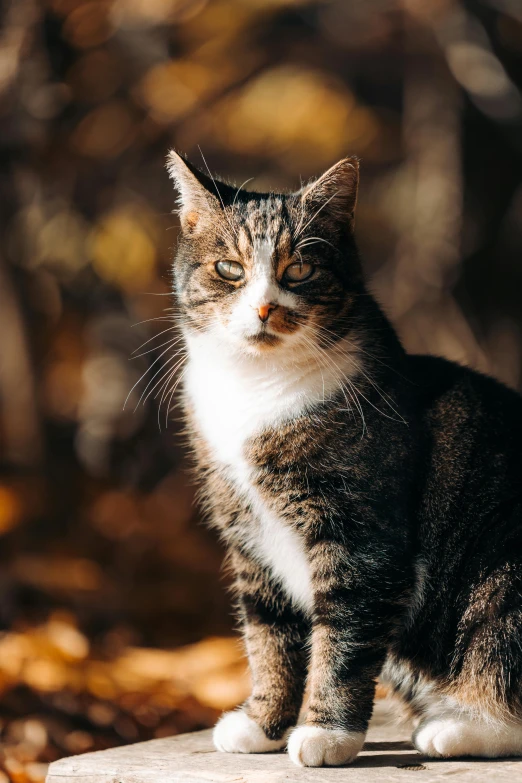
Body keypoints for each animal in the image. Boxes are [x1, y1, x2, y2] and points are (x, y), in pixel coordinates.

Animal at [166, 150, 520, 768]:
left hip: (501, 578)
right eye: (230, 269)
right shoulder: (249, 536)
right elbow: (269, 636)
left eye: (299, 271)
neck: (257, 389)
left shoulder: (360, 536)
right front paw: (262, 724)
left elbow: (344, 637)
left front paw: (325, 735)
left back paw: (453, 729)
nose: (264, 307)